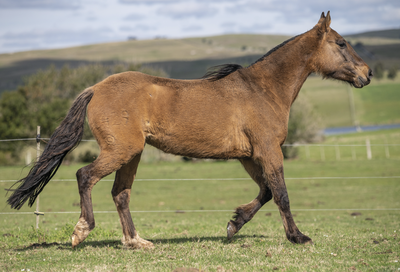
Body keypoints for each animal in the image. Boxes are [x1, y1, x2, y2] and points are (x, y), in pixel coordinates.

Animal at [7, 12, 374, 249]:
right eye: (341, 43)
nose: (367, 74)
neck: (263, 89)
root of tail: (96, 88)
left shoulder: (250, 156)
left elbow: (267, 192)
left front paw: (233, 224)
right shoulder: (269, 149)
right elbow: (281, 193)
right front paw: (297, 237)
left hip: (132, 154)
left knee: (120, 194)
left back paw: (136, 241)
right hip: (120, 150)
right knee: (85, 176)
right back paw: (82, 231)